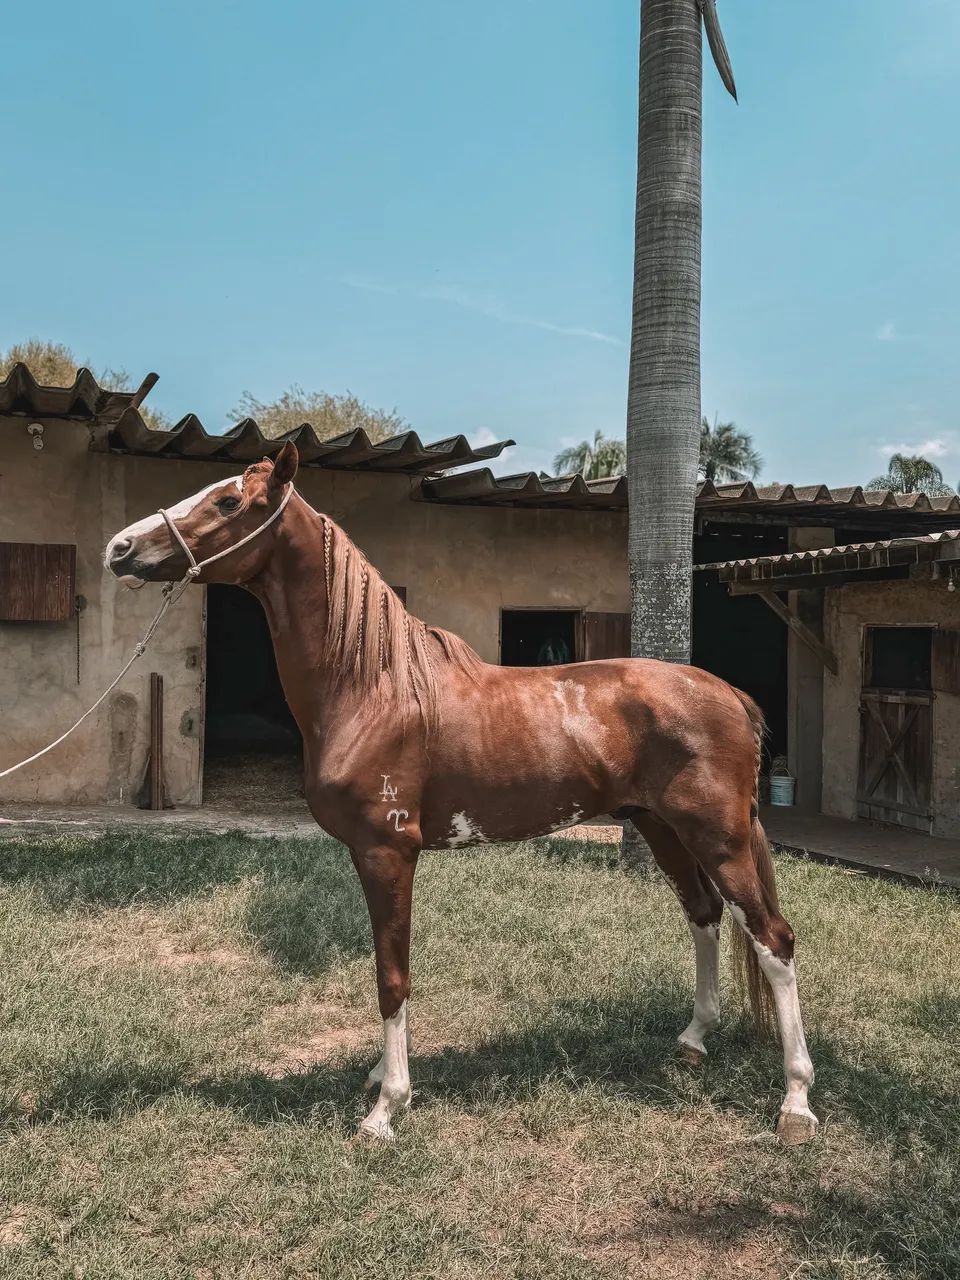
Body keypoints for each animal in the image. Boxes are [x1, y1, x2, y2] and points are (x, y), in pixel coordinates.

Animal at [104, 442, 817, 1145]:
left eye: (229, 502)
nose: (119, 548)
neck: (373, 687)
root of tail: (729, 694)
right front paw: (379, 1079)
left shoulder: (387, 852)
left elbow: (392, 977)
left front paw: (386, 1108)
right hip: (660, 827)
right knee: (705, 915)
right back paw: (694, 1039)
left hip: (718, 836)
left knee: (773, 940)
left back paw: (795, 1102)